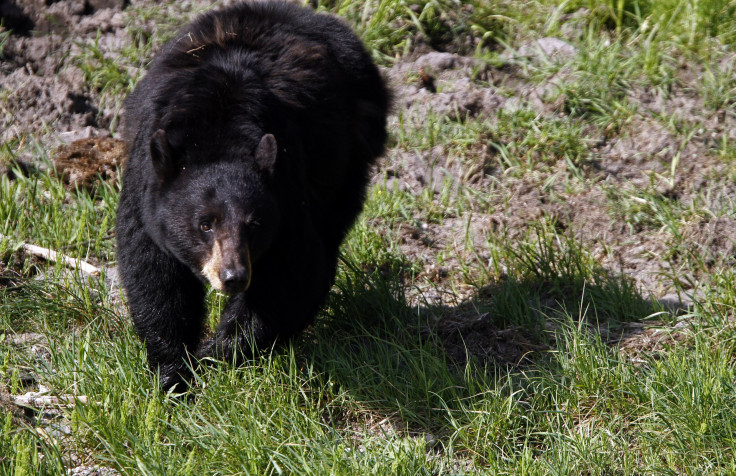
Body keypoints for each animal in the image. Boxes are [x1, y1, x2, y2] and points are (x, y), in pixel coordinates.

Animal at [115, 0, 392, 390]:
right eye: (205, 225)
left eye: (254, 224)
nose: (233, 276)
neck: (217, 130)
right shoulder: (145, 185)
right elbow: (153, 272)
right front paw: (172, 371)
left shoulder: (287, 185)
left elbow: (294, 271)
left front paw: (216, 353)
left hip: (349, 155)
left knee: (331, 226)